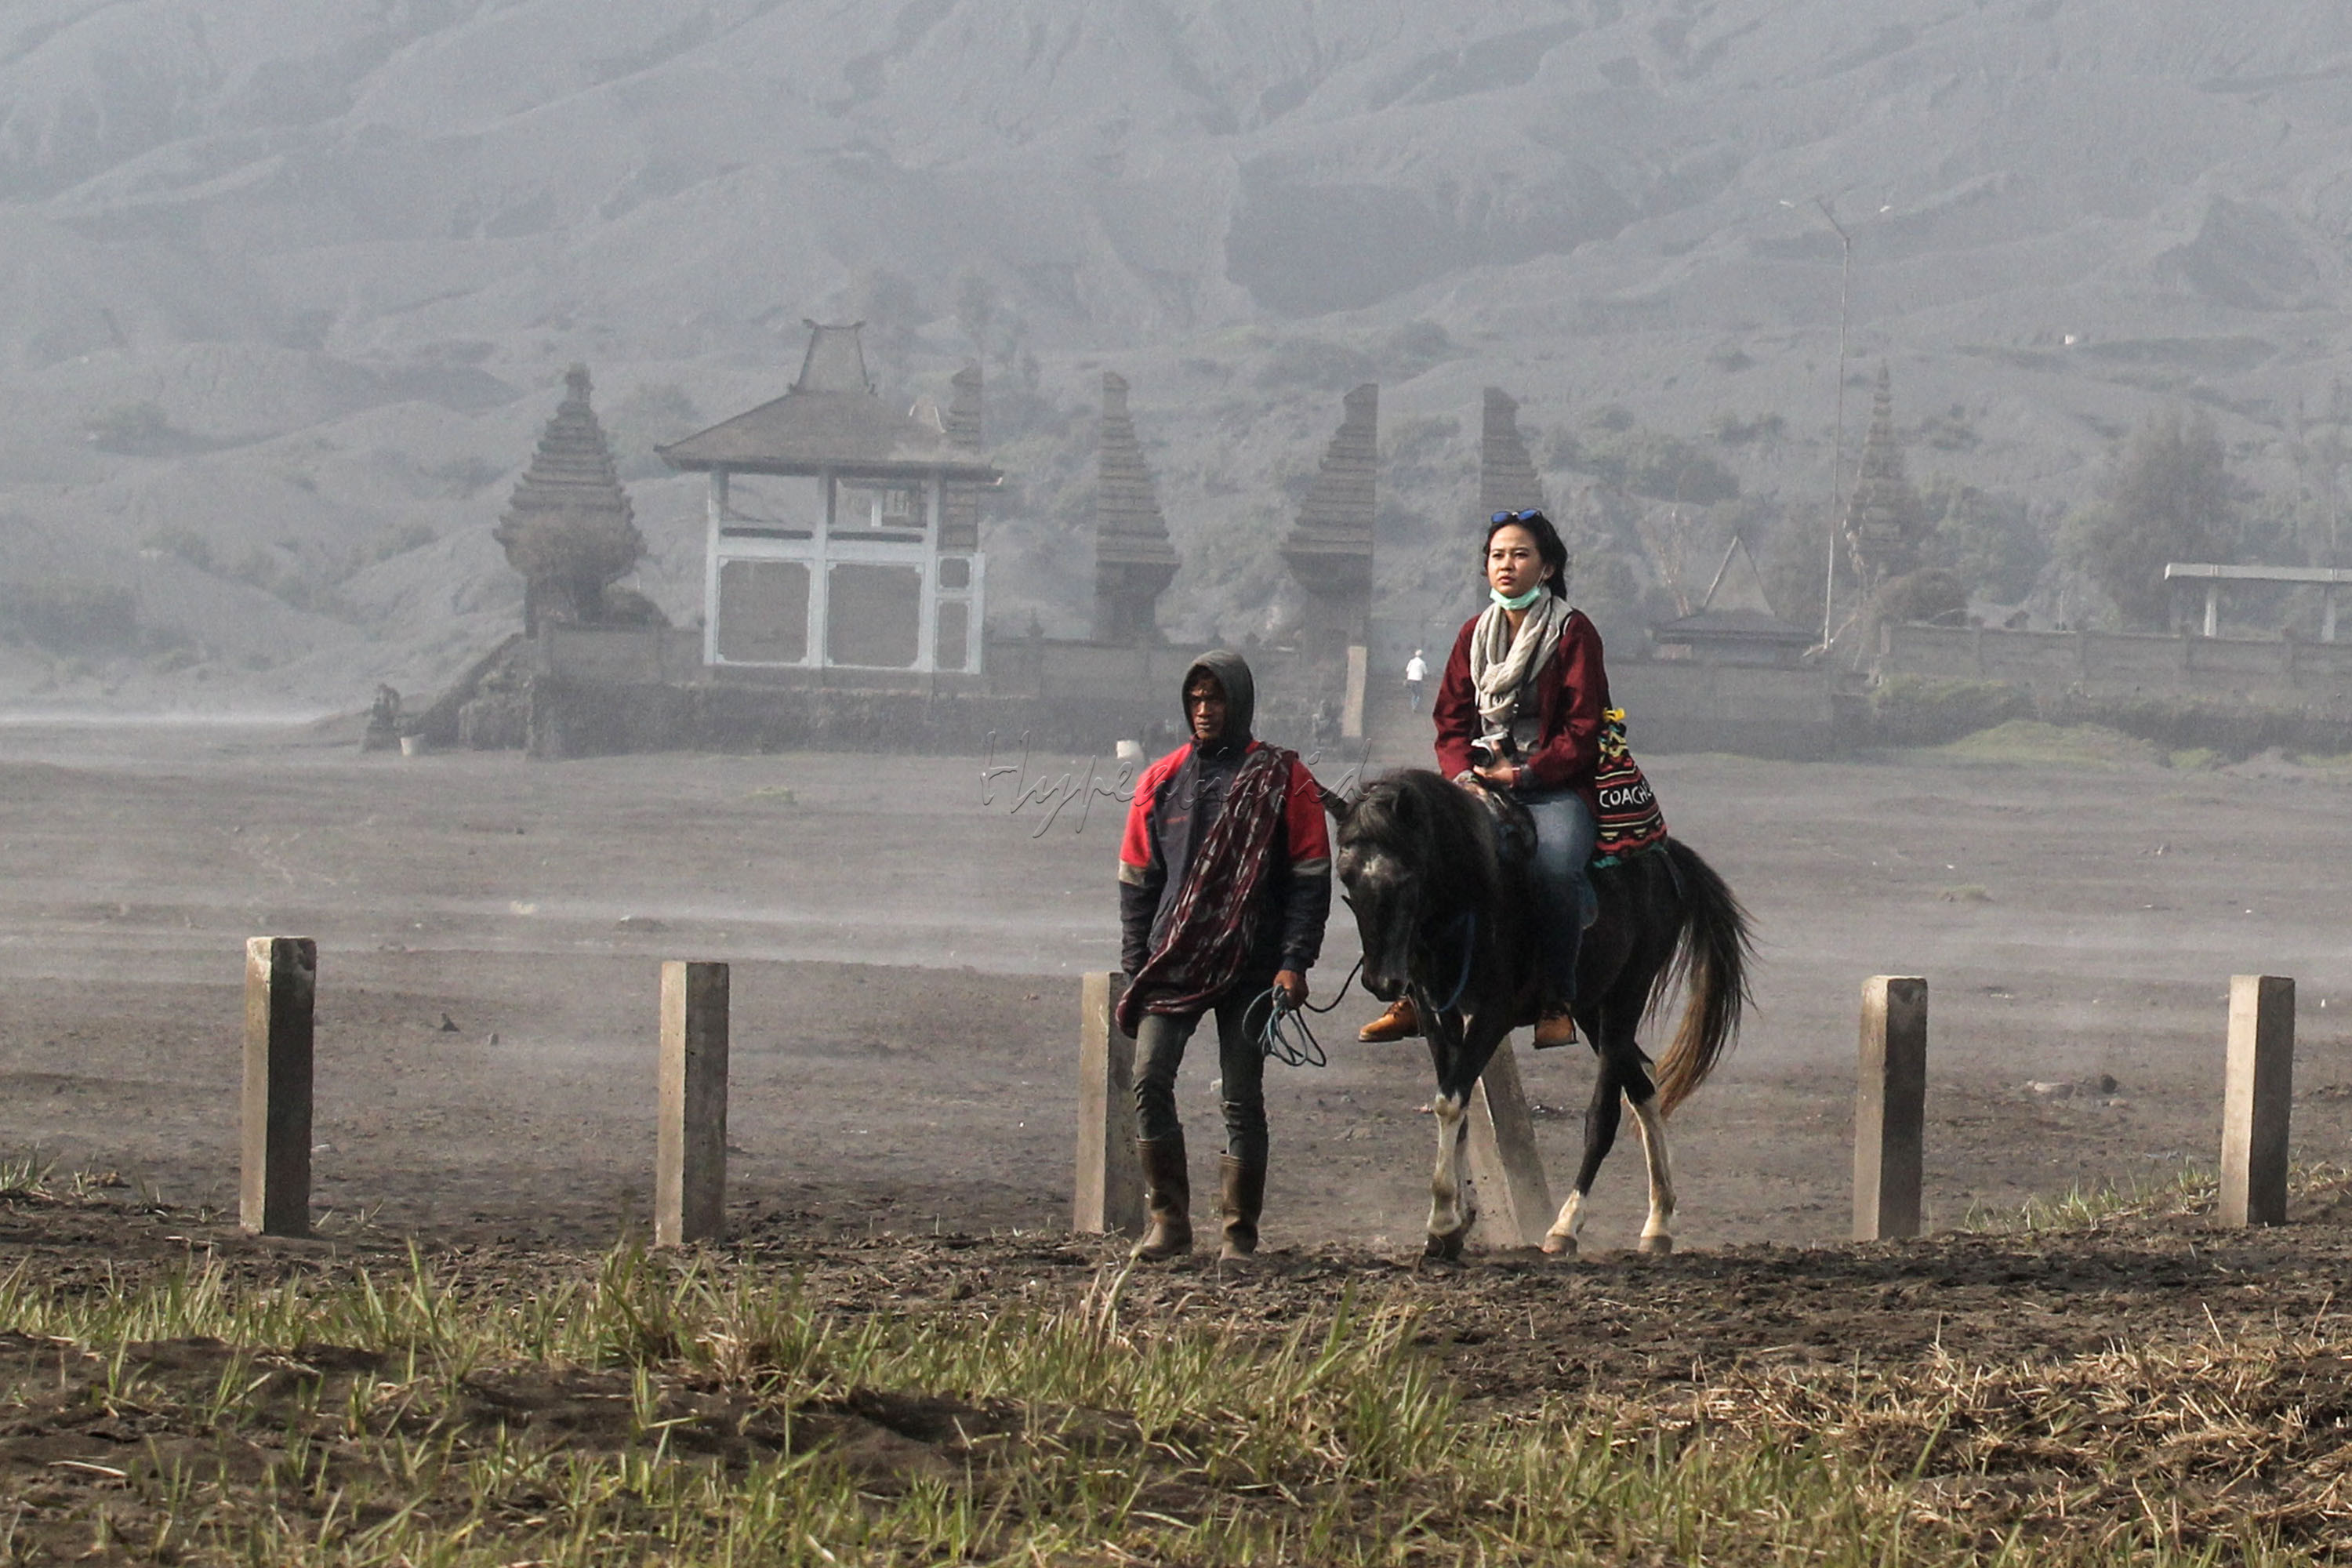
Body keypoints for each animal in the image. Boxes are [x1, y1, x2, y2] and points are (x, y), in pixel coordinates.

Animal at [1336, 771, 1759, 1260]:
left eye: (1406, 877)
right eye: (1346, 877)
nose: (1382, 980)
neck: (1474, 889)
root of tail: (1664, 857)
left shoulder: (1493, 1015)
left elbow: (1451, 1101)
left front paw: (1442, 1222)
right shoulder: (1436, 1014)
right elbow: (1455, 1106)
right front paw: (1457, 1221)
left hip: (1626, 997)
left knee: (1605, 1115)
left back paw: (1566, 1226)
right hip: (1592, 1007)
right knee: (1643, 1085)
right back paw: (1658, 1223)